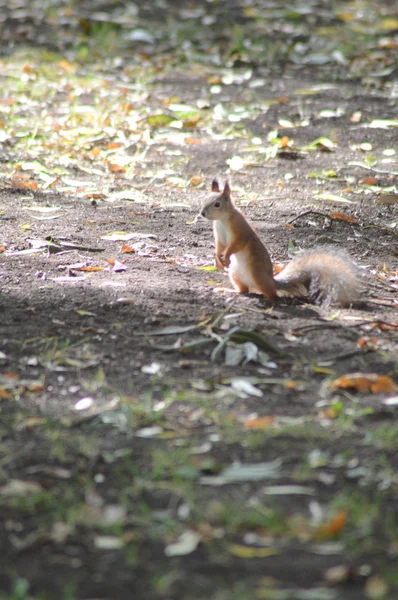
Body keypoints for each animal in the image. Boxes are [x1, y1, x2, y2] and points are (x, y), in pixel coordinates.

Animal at [201, 179, 362, 308]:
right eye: (204, 199)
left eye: (217, 204)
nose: (202, 213)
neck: (222, 220)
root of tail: (272, 281)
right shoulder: (219, 236)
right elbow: (219, 247)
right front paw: (218, 259)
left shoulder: (240, 231)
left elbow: (236, 245)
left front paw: (227, 256)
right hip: (235, 274)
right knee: (244, 290)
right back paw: (229, 290)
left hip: (256, 273)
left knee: (272, 294)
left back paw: (267, 300)